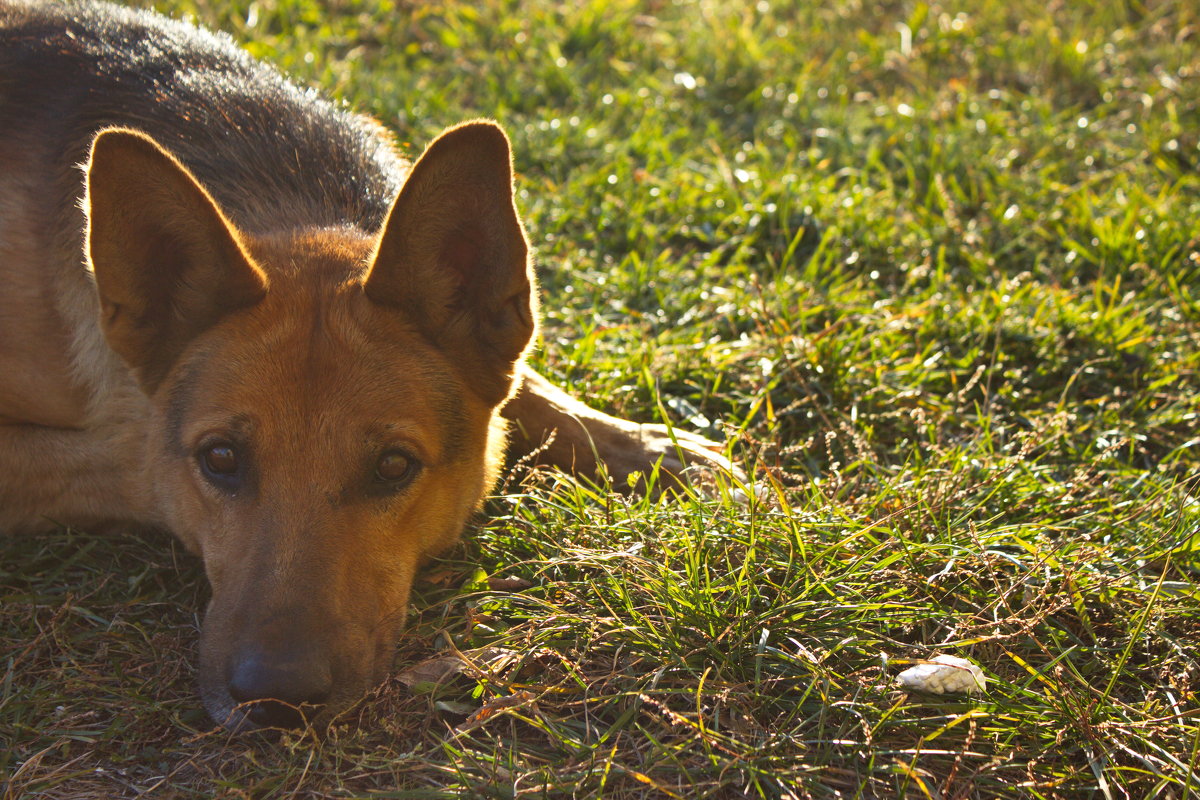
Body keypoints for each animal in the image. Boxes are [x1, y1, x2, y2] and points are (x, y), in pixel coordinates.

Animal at [0, 0, 744, 734]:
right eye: (220, 459)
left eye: (393, 467)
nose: (276, 700)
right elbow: (129, 462)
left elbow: (526, 388)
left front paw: (653, 450)